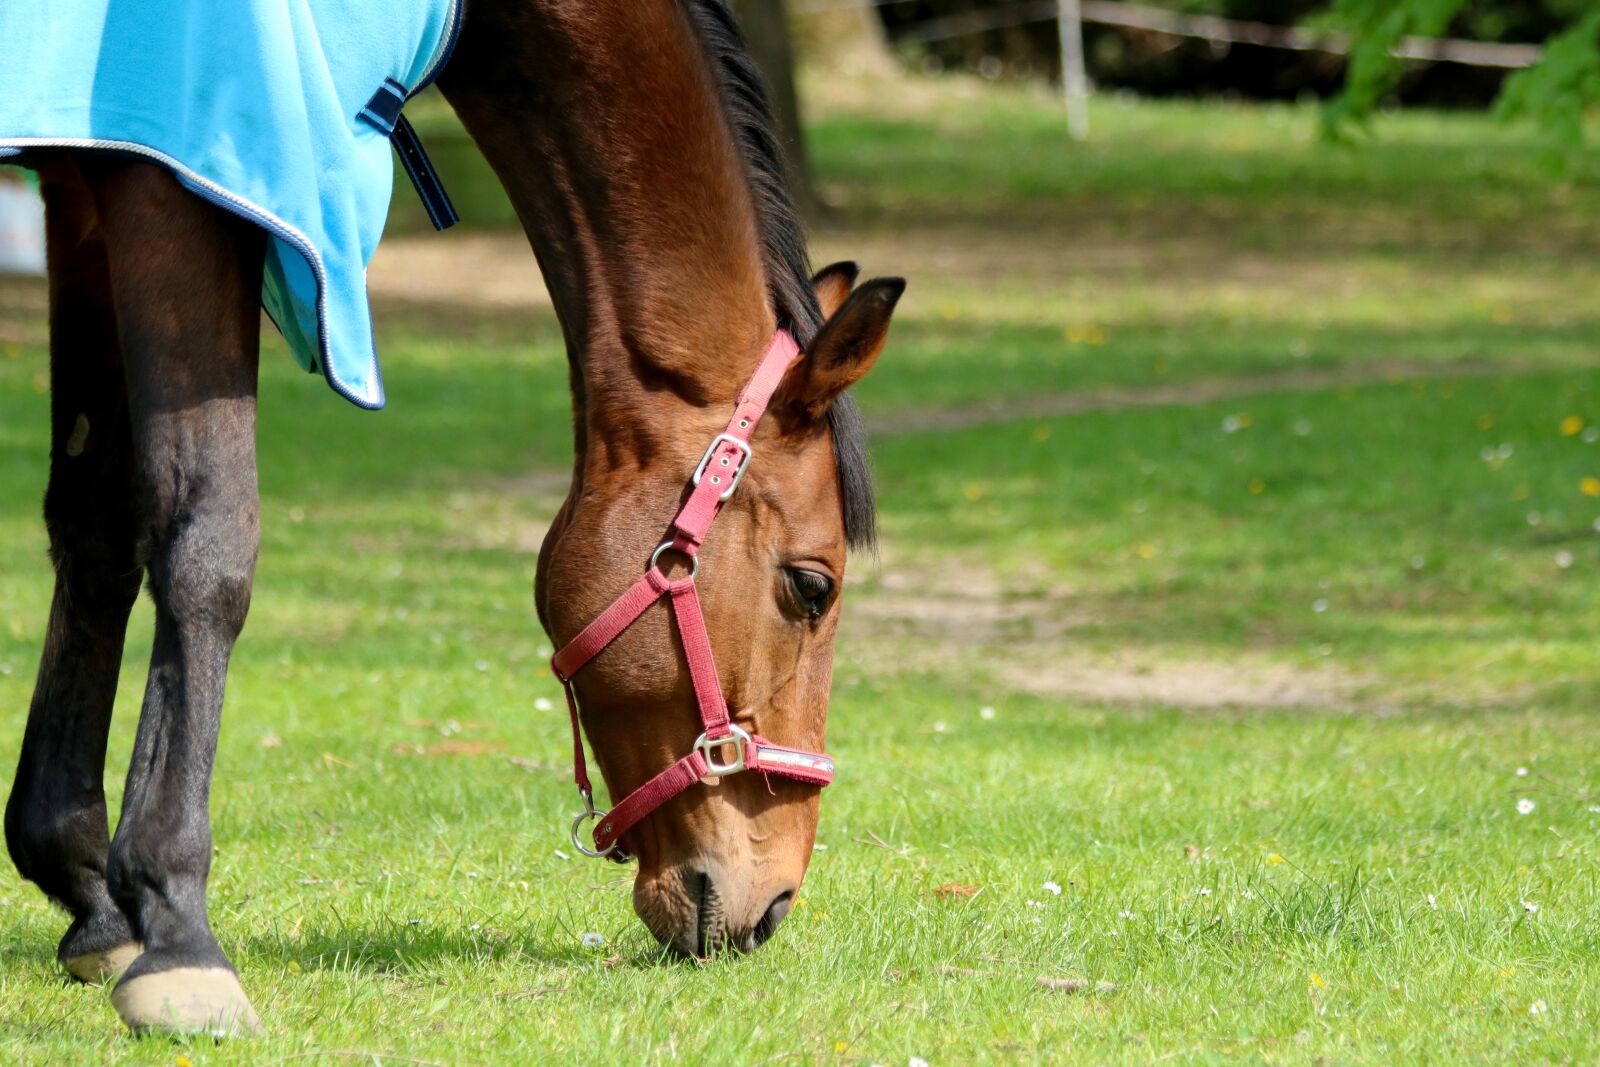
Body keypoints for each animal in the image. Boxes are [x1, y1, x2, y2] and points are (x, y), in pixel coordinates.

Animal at [4, 0, 902, 1036]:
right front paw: (176, 929)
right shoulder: (177, 181)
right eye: (812, 586)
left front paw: (89, 890)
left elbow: (96, 523)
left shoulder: (84, 183)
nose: (774, 903)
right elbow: (209, 538)